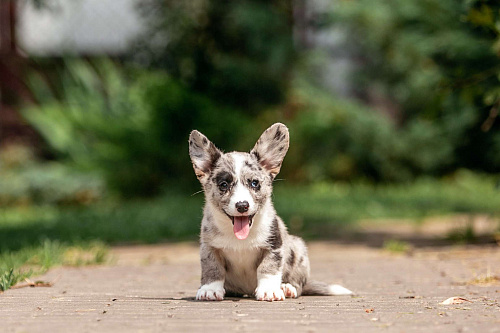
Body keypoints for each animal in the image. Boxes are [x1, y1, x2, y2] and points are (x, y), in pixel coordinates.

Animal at [188, 123, 352, 300]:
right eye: (224, 185)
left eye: (254, 183)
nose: (242, 205)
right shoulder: (209, 247)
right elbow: (212, 268)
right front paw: (209, 290)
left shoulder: (274, 246)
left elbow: (268, 268)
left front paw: (269, 291)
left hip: (298, 249)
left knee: (299, 285)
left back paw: (287, 288)